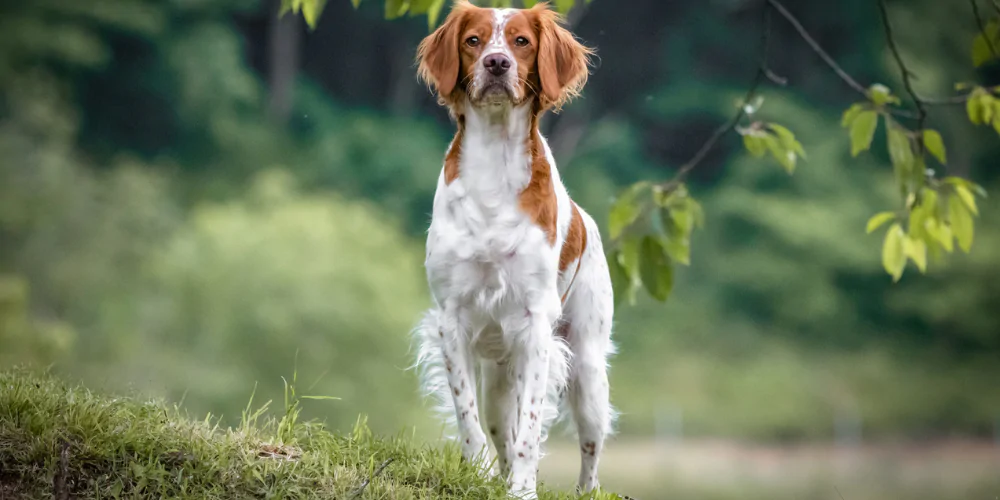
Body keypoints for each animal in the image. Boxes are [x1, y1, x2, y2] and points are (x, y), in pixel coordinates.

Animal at [414, 2, 616, 496]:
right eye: (473, 40)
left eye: (521, 41)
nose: (496, 63)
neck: (495, 162)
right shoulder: (452, 319)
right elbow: (469, 420)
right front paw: (480, 474)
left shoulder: (536, 325)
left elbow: (529, 429)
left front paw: (523, 488)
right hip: (498, 379)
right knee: (496, 425)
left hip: (587, 370)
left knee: (590, 452)